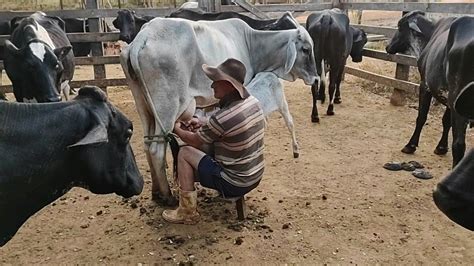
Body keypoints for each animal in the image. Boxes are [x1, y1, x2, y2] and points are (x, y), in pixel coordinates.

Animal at [120, 17, 316, 204]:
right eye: (306, 49)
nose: (315, 78)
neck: (252, 44)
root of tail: (142, 37)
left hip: (144, 107)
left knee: (147, 145)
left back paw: (155, 192)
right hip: (166, 108)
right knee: (156, 150)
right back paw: (168, 196)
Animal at [386, 11, 472, 166]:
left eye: (400, 27)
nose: (387, 46)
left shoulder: (425, 85)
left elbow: (421, 117)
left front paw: (410, 145)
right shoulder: (448, 98)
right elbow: (446, 121)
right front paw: (441, 148)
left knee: (459, 145)